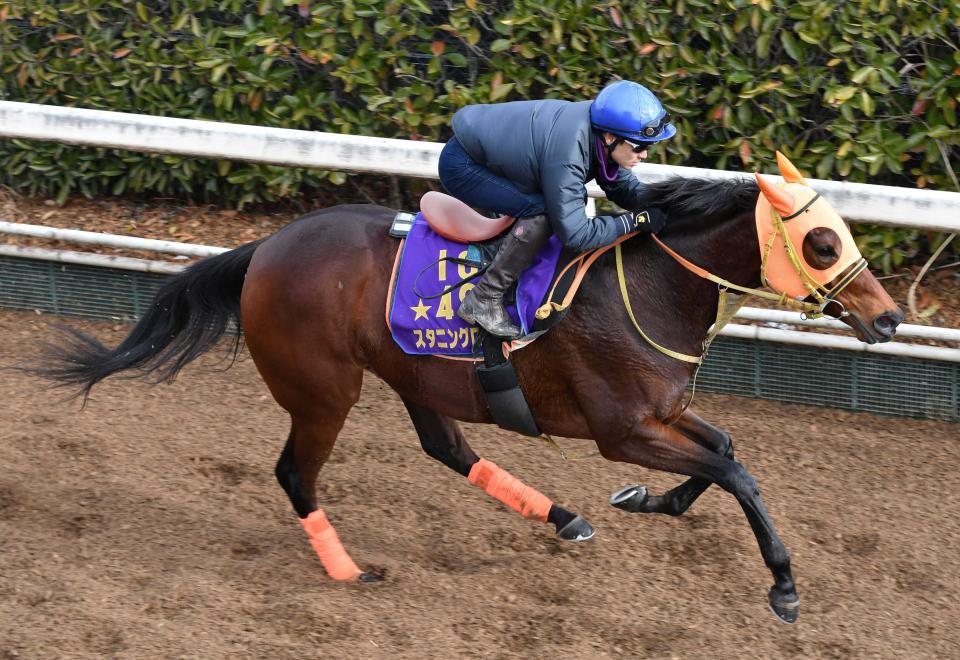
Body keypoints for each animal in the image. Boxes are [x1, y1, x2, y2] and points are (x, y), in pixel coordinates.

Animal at [35, 155, 900, 624]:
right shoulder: (621, 429)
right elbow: (736, 473)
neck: (649, 287)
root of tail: (266, 248)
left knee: (444, 446)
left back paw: (564, 516)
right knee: (295, 472)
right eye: (823, 243)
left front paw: (646, 502)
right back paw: (348, 571)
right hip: (325, 392)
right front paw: (784, 588)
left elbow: (724, 452)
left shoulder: (664, 415)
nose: (888, 317)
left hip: (412, 373)